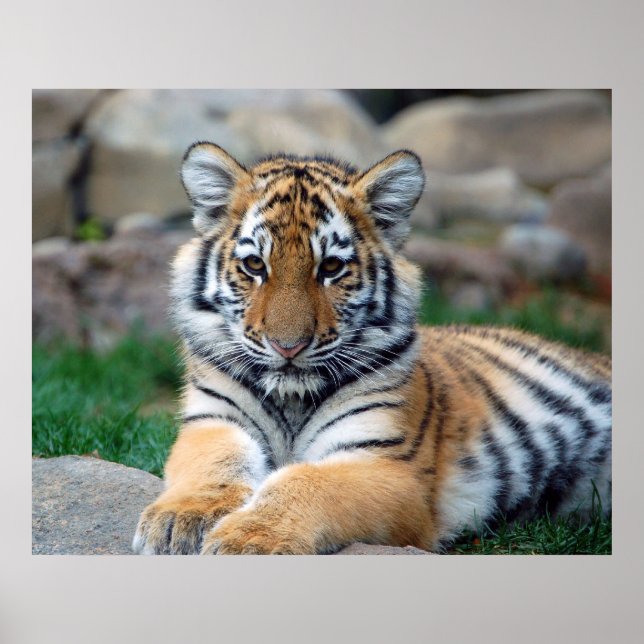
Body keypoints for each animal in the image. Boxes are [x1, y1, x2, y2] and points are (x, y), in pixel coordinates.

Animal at [132, 142, 612, 555]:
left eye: (330, 268)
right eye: (254, 265)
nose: (288, 347)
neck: (291, 399)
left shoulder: (388, 466)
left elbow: (305, 484)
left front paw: (250, 539)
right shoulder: (213, 420)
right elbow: (213, 463)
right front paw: (180, 520)